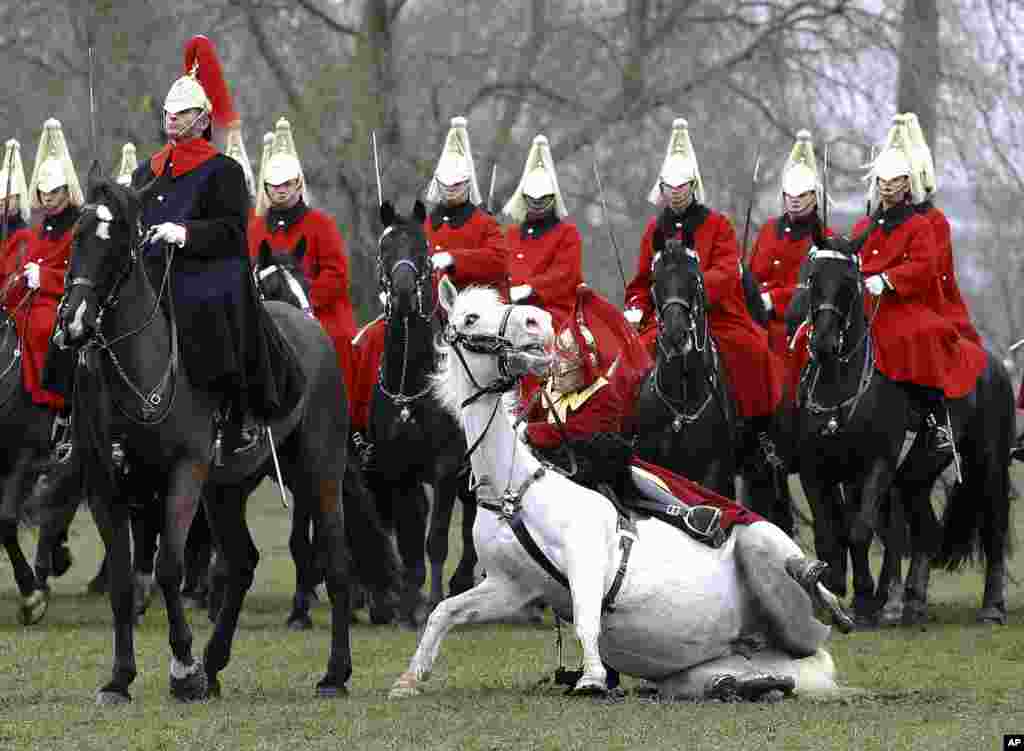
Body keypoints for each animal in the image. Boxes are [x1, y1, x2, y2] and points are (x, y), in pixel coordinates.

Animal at [56, 177, 397, 704]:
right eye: (77, 237)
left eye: (118, 245)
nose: (73, 323)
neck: (139, 370)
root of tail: (313, 332)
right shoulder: (104, 489)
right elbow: (122, 582)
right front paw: (120, 679)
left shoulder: (184, 474)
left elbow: (169, 567)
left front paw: (182, 667)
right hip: (225, 490)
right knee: (242, 562)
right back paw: (215, 664)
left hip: (317, 472)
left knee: (336, 561)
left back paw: (333, 674)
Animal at [366, 200, 477, 622]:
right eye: (385, 249)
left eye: (423, 251)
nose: (401, 293)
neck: (410, 389)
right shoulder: (399, 472)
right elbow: (410, 537)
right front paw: (407, 606)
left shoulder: (445, 470)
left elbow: (436, 539)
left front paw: (430, 602)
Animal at [391, 280, 839, 696]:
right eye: (469, 318)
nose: (536, 321)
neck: (514, 489)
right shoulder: (511, 586)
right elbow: (445, 612)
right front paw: (410, 678)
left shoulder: (585, 561)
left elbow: (587, 621)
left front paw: (591, 679)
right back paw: (742, 682)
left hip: (768, 559)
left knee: (815, 641)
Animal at [794, 241, 1011, 627]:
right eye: (813, 278)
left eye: (850, 284)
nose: (822, 342)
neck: (838, 383)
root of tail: (994, 363)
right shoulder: (815, 469)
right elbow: (829, 532)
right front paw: (832, 593)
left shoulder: (876, 465)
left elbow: (860, 529)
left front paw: (864, 600)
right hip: (917, 470)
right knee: (924, 523)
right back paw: (911, 602)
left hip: (988, 463)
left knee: (994, 527)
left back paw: (991, 607)